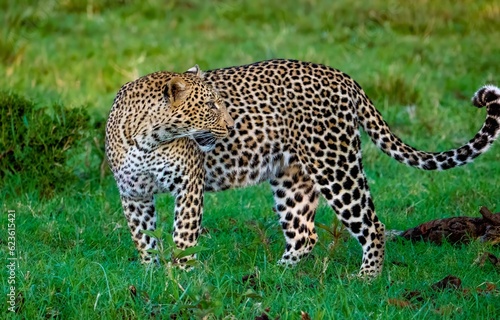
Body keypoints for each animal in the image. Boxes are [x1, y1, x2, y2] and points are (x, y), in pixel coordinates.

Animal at [105, 58, 500, 276]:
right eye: (211, 106)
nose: (231, 126)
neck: (150, 137)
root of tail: (342, 76)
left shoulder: (188, 186)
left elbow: (183, 236)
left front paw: (181, 275)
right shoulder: (134, 193)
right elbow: (143, 238)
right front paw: (152, 275)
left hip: (335, 164)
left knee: (372, 225)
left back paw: (366, 278)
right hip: (293, 179)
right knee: (304, 234)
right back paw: (275, 276)